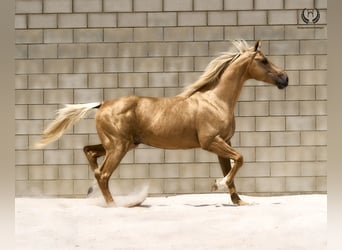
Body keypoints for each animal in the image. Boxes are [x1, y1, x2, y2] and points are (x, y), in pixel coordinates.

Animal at [36, 40, 288, 205]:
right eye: (264, 61)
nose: (285, 78)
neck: (215, 100)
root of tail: (102, 104)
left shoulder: (223, 142)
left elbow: (232, 166)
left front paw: (238, 201)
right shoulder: (211, 142)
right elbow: (241, 159)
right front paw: (217, 184)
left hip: (119, 144)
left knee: (89, 152)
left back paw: (94, 193)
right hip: (118, 146)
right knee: (103, 174)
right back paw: (114, 205)